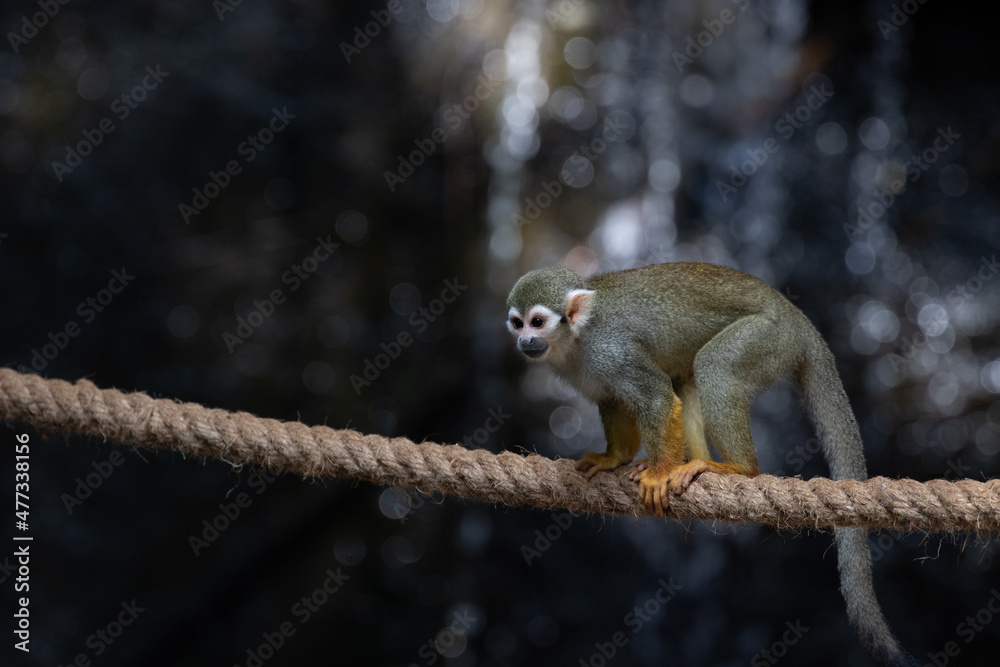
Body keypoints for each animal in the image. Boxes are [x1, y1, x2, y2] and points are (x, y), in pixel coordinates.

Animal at [506, 262, 917, 667]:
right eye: (517, 323)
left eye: (537, 322)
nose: (525, 342)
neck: (575, 339)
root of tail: (797, 317)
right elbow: (613, 399)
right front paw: (614, 459)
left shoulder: (610, 350)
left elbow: (655, 398)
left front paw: (658, 474)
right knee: (687, 380)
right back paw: (692, 461)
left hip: (768, 336)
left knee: (715, 365)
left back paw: (735, 467)